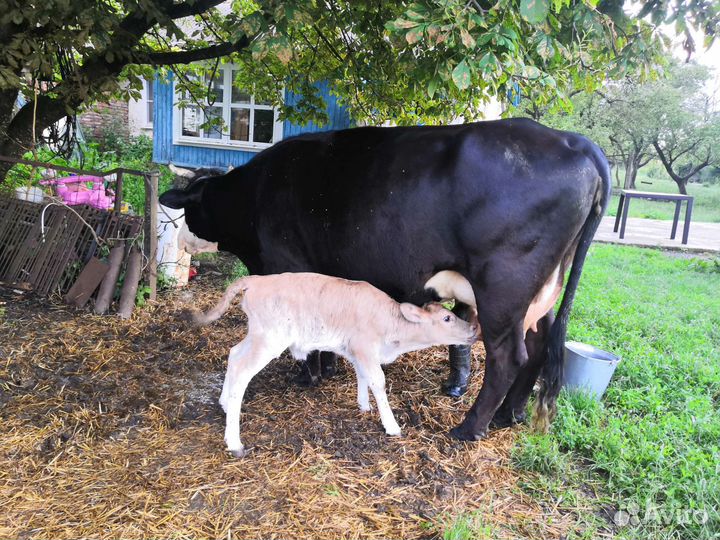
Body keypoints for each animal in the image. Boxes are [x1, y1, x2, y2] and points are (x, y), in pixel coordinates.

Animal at [187, 272, 479, 457]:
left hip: (257, 334)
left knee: (234, 354)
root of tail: (257, 279)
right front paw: (391, 425)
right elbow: (378, 381)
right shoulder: (365, 346)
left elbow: (362, 375)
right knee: (241, 371)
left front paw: (364, 406)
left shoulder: (356, 349)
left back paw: (224, 403)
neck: (392, 329)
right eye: (446, 318)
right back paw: (234, 441)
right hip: (270, 338)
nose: (473, 328)